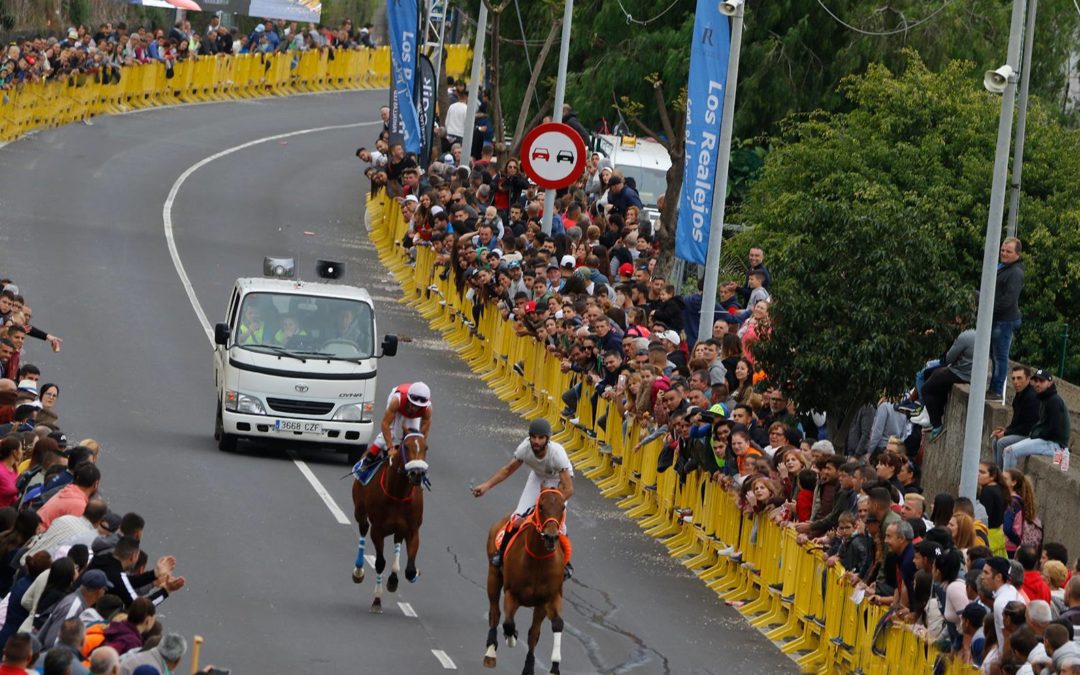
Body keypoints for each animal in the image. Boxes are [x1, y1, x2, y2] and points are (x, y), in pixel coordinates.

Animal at [349, 429, 425, 613]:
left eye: (426, 447)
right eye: (406, 447)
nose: (417, 474)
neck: (398, 494)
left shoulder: (412, 529)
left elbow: (410, 570)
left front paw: (408, 575)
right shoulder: (378, 530)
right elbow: (379, 562)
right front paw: (377, 600)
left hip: (399, 528)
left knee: (397, 540)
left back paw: (393, 577)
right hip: (360, 510)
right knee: (363, 528)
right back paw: (358, 571)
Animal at [481, 486, 565, 669]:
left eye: (563, 507)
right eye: (541, 506)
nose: (551, 537)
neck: (538, 561)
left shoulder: (549, 598)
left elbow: (554, 625)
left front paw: (554, 666)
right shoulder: (512, 593)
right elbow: (508, 624)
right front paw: (511, 637)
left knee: (534, 632)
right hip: (493, 575)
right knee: (495, 613)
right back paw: (491, 653)